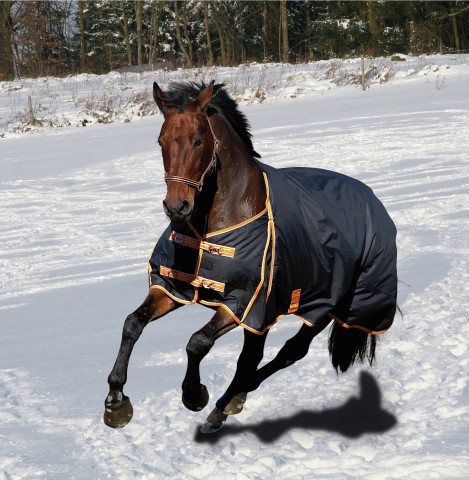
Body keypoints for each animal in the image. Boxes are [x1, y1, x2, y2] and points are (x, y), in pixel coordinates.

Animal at [102, 80, 394, 434]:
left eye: (198, 140)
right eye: (161, 141)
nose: (177, 207)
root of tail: (373, 200)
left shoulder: (243, 302)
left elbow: (197, 342)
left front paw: (194, 394)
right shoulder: (174, 288)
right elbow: (133, 323)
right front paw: (116, 400)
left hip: (326, 307)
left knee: (288, 352)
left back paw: (226, 403)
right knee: (253, 357)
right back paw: (230, 402)